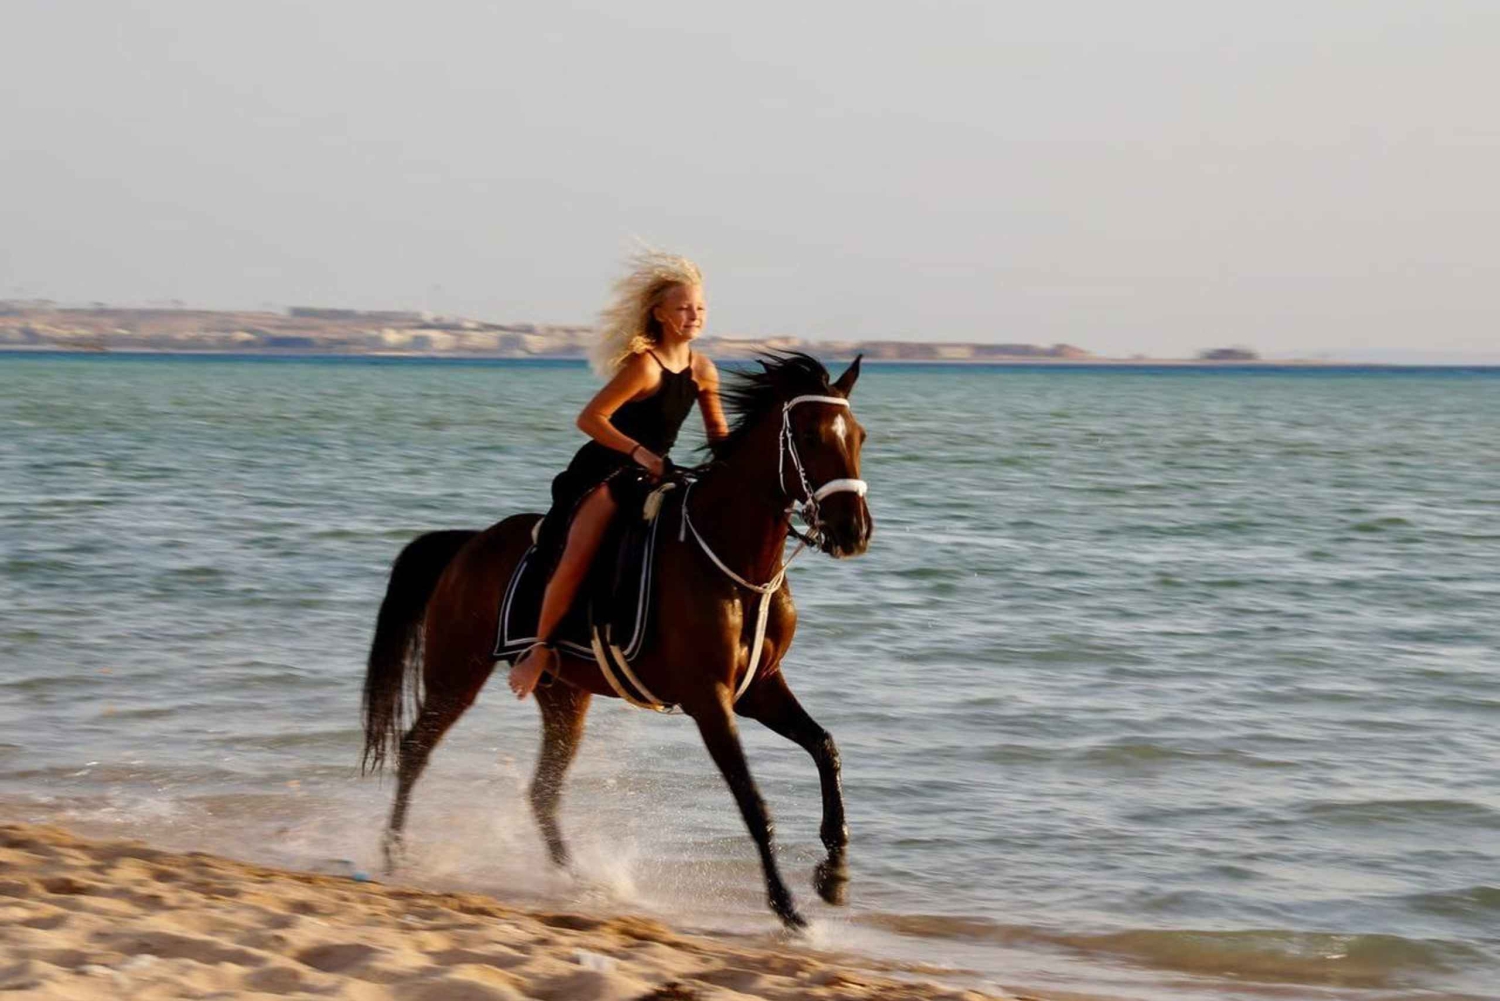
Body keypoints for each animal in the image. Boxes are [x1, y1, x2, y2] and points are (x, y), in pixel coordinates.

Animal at [359, 352, 872, 928]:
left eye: (859, 436)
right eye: (808, 436)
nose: (853, 531)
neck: (733, 559)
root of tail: (468, 543)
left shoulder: (758, 688)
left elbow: (825, 747)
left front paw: (835, 874)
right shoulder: (708, 698)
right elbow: (752, 800)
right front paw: (787, 907)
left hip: (564, 695)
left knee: (542, 791)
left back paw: (580, 882)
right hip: (456, 672)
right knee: (415, 749)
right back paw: (396, 854)